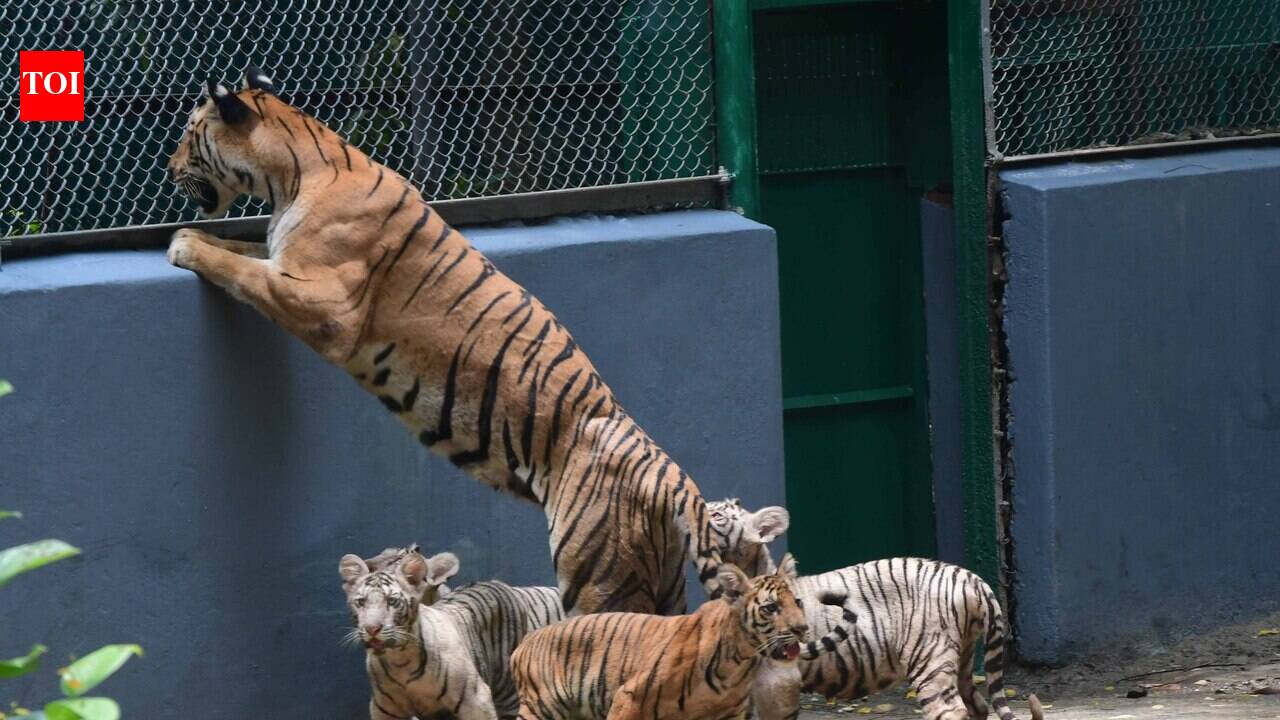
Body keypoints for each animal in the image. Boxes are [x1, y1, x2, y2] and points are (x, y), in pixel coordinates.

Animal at [164, 66, 725, 615]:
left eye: (189, 133)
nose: (168, 169)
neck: (288, 173)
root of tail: (669, 476)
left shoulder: (327, 303)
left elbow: (241, 270)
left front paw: (184, 243)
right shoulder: (284, 261)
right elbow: (243, 249)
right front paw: (198, 234)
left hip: (597, 577)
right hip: (660, 582)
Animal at [341, 547, 563, 719]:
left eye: (392, 601)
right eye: (360, 602)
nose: (371, 628)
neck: (400, 661)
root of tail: (497, 583)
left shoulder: (476, 701)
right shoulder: (385, 709)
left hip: (509, 691)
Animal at [509, 556, 818, 720]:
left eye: (797, 602)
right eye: (771, 608)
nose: (802, 628)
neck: (740, 661)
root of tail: (526, 639)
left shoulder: (728, 713)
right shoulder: (629, 697)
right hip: (540, 708)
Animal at [707, 499, 1045, 720]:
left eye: (718, 513)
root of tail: (972, 578)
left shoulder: (776, 680)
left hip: (929, 658)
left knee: (950, 710)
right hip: (961, 657)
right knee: (977, 705)